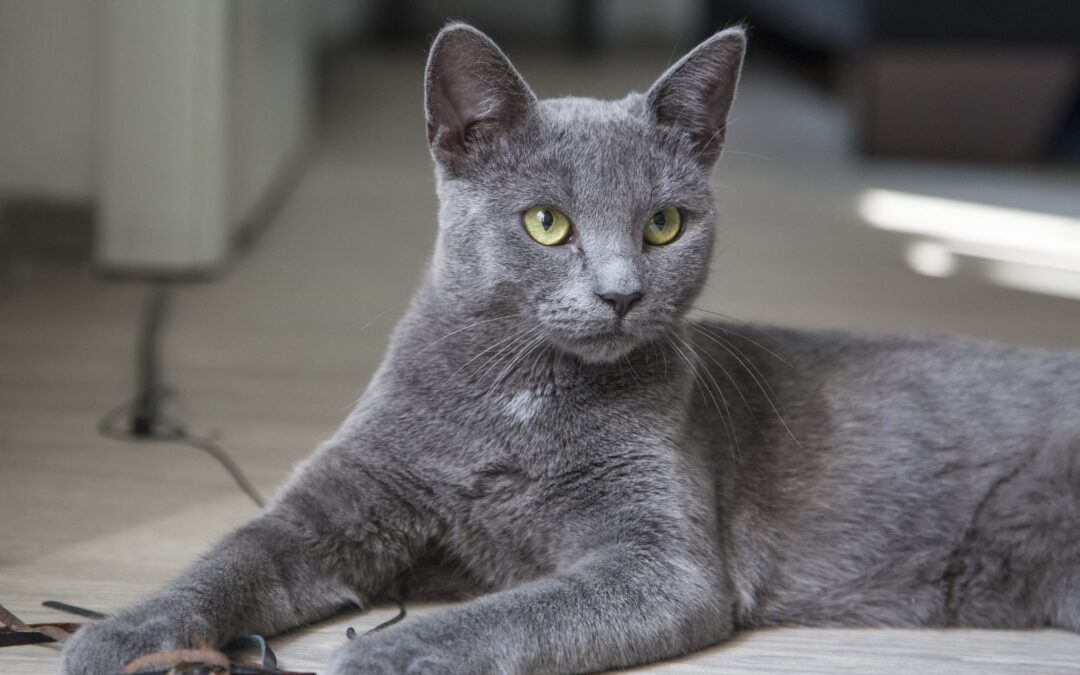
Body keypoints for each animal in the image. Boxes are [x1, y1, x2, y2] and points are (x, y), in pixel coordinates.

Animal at [63, 22, 1080, 673]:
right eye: (547, 223)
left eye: (665, 224)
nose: (623, 293)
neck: (520, 399)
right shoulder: (342, 498)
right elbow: (234, 552)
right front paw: (124, 632)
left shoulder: (660, 559)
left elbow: (519, 607)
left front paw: (392, 650)